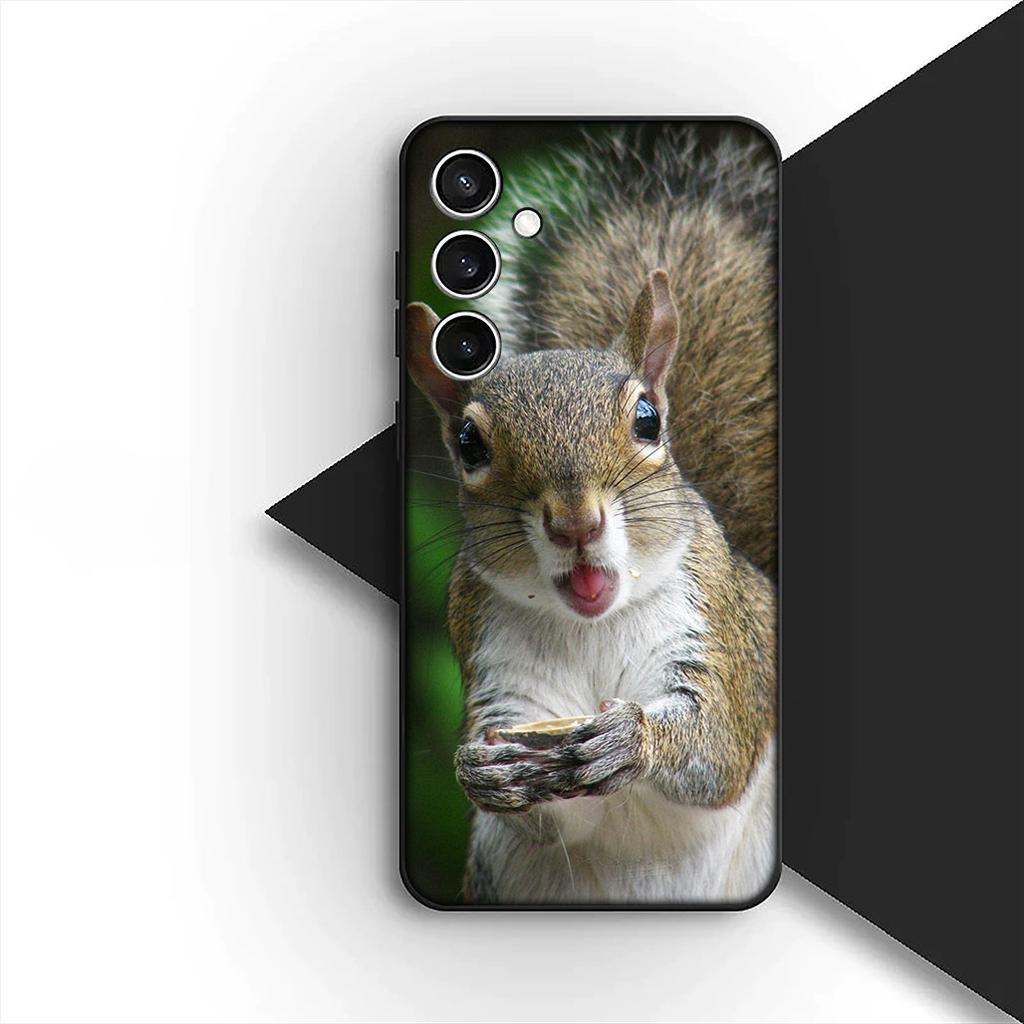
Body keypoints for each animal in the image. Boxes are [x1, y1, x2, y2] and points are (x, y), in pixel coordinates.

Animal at [407, 127, 777, 904]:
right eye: (468, 444)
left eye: (646, 420)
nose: (576, 523)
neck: (592, 627)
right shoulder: (495, 662)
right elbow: (552, 814)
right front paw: (479, 774)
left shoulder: (719, 631)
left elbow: (720, 748)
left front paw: (633, 739)